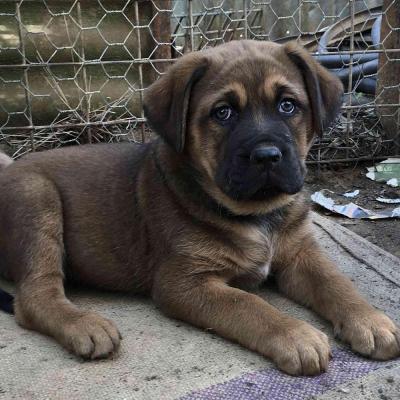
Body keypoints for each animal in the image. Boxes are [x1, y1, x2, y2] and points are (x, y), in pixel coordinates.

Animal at [0, 40, 400, 376]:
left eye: (288, 105)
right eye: (223, 112)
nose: (267, 156)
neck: (257, 215)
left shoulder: (301, 254)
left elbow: (336, 283)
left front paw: (370, 320)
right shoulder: (183, 282)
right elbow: (248, 305)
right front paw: (296, 335)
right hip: (37, 198)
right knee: (35, 296)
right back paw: (84, 324)